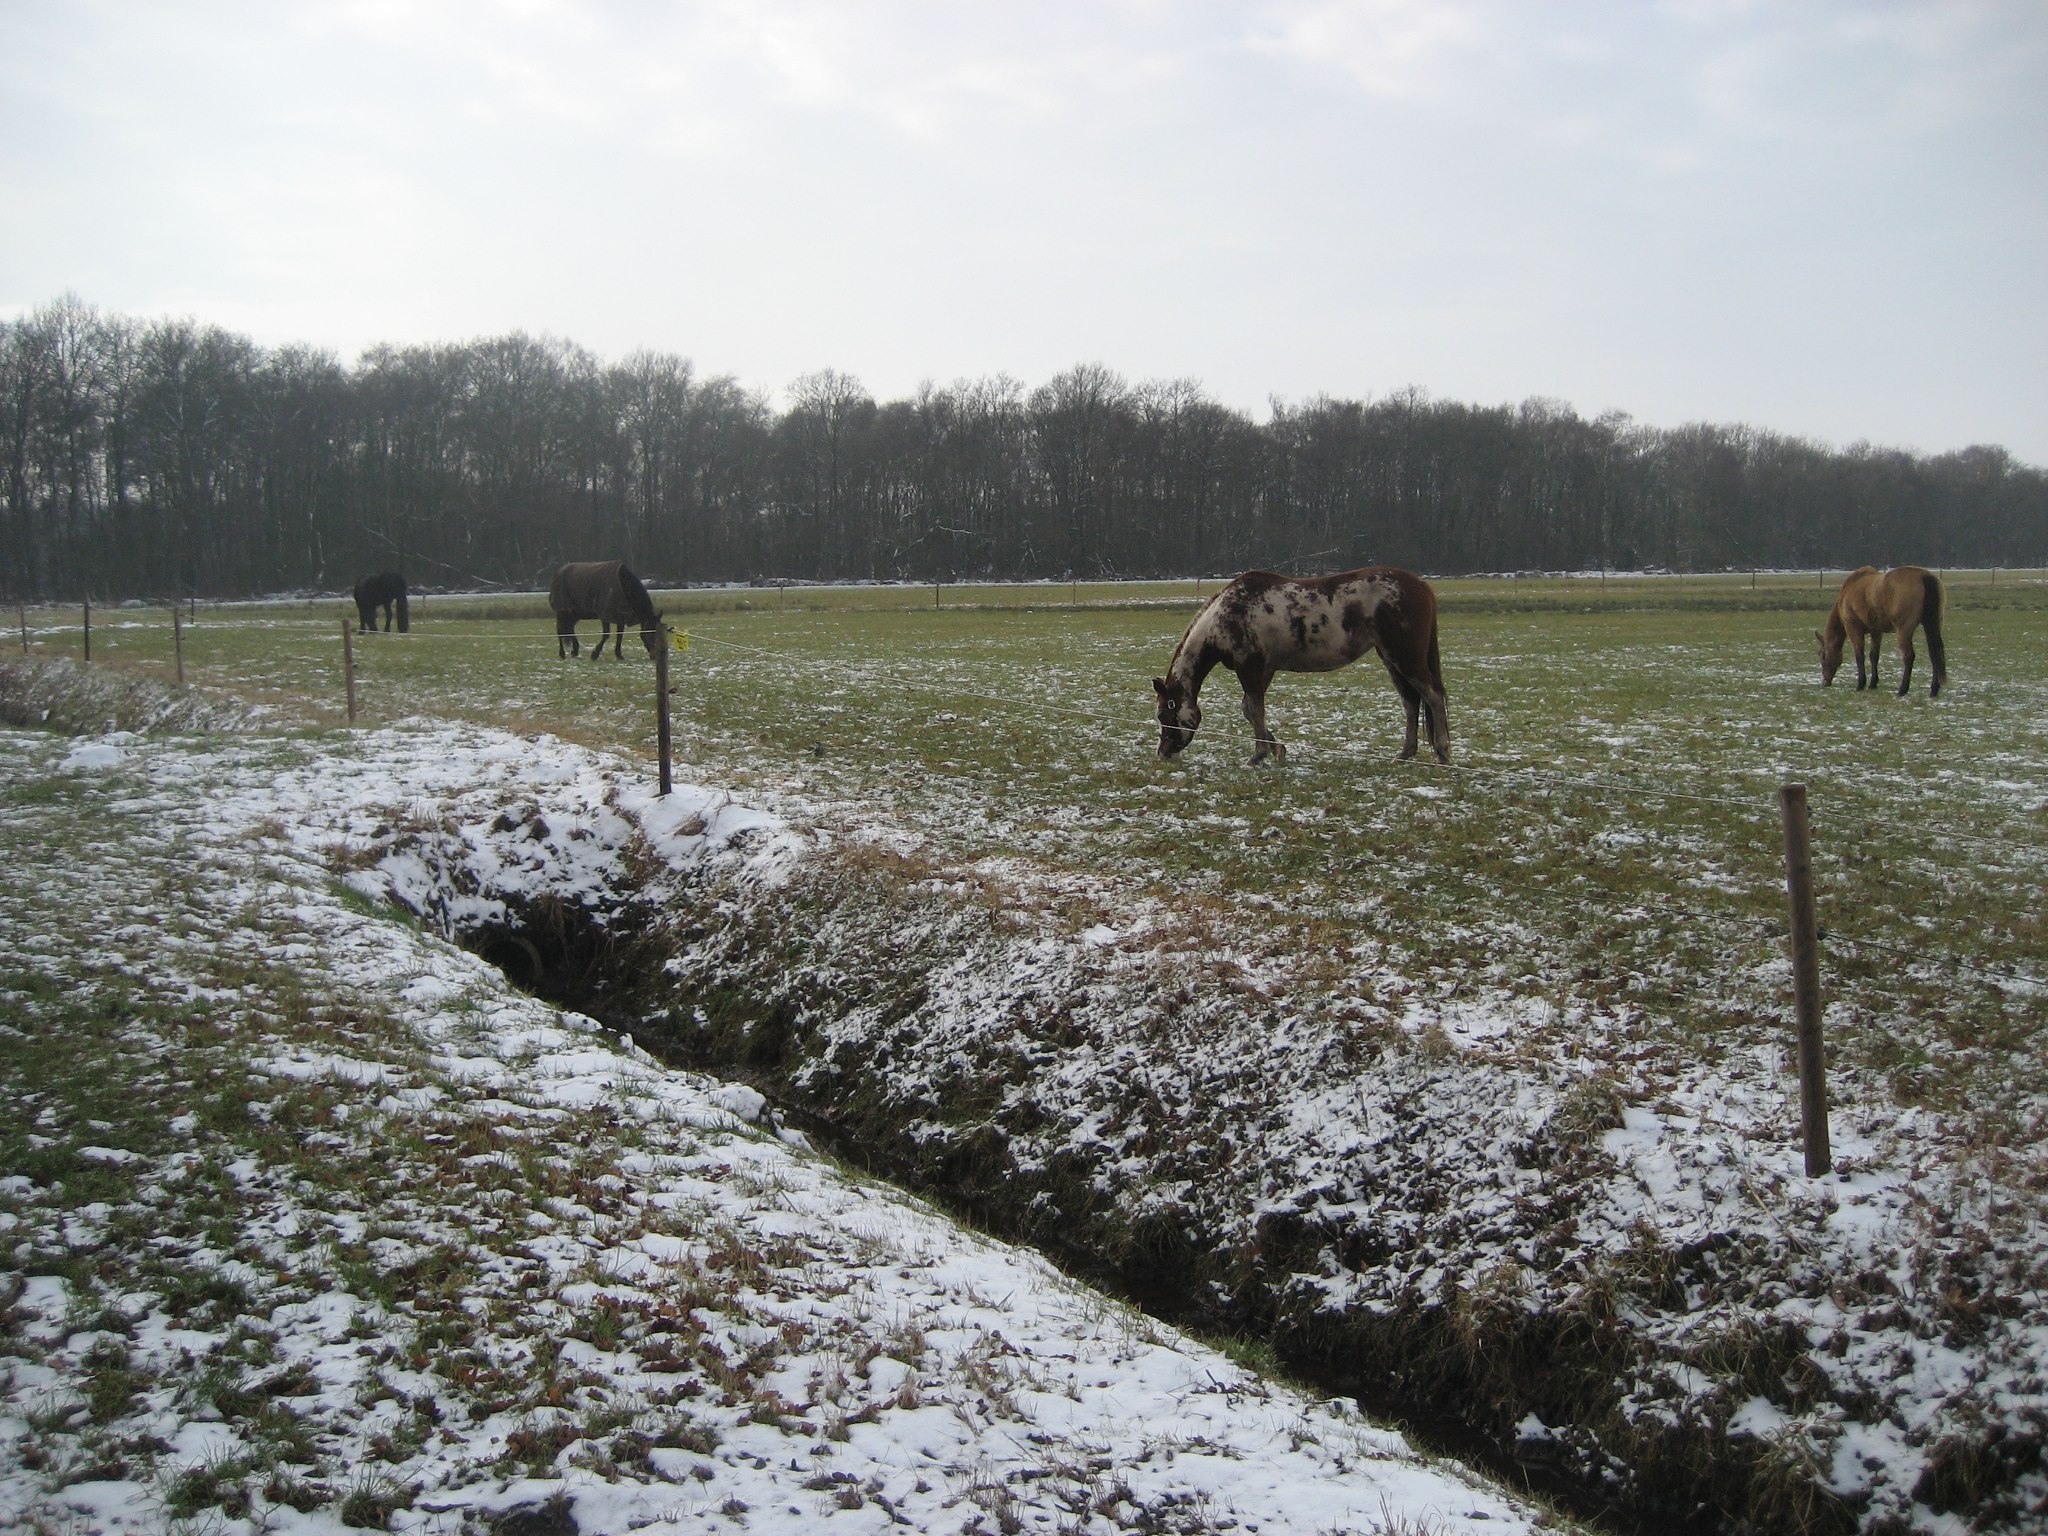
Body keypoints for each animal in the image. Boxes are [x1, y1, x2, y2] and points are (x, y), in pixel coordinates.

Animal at [1154, 566, 1449, 765]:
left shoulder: (1249, 667)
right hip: (1391, 659)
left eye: (1162, 715)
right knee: (1411, 703)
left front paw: (1258, 755)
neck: (1226, 614)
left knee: (1433, 696)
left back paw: (1443, 752)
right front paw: (1278, 749)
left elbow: (1255, 710)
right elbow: (1250, 709)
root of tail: (1420, 586)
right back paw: (1405, 754)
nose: (1163, 754)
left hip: (1406, 658)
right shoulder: (1265, 669)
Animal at [1817, 566, 1946, 697]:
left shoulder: (1853, 628)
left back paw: (1902, 690)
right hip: (1934, 625)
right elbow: (1874, 656)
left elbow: (1860, 655)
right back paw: (1933, 690)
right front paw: (1873, 683)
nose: (1825, 681)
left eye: (1822, 655)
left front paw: (1861, 684)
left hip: (1904, 630)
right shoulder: (1876, 631)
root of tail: (1924, 576)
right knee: (1935, 654)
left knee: (1909, 656)